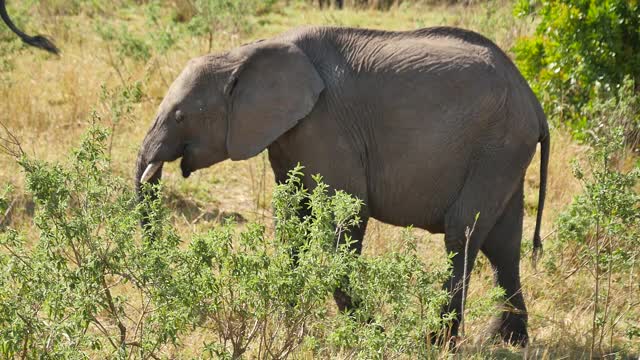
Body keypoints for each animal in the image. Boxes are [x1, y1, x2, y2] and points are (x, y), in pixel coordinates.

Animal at [135, 24, 552, 346]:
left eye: (180, 116)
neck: (245, 53)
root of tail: (534, 102)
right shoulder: (289, 136)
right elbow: (294, 218)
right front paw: (289, 320)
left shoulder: (325, 127)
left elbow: (348, 214)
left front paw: (370, 333)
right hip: (505, 153)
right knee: (502, 243)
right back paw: (508, 341)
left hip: (496, 147)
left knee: (462, 233)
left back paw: (437, 342)